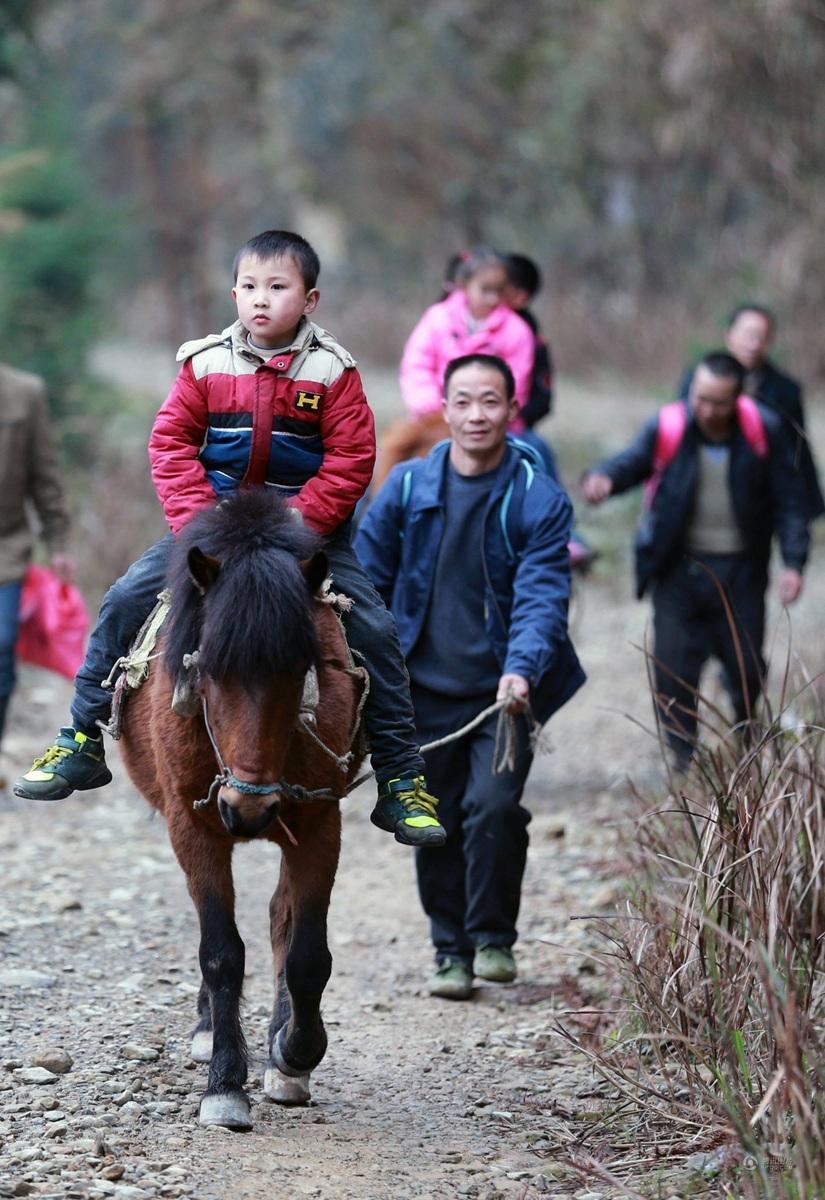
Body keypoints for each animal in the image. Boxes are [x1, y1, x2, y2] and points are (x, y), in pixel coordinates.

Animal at [117, 487, 362, 1123]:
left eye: (299, 672)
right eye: (207, 670)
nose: (248, 811)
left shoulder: (319, 824)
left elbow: (306, 953)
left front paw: (294, 1054)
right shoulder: (193, 827)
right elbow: (221, 952)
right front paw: (226, 1085)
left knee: (280, 919)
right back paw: (209, 1034)